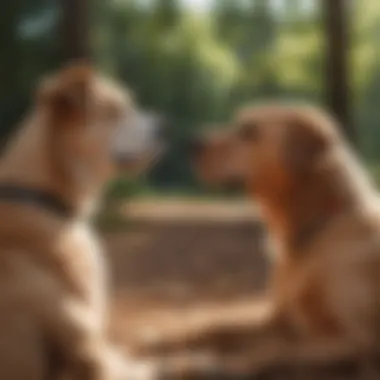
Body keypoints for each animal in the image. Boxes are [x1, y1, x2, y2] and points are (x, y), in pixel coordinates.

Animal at [138, 103, 380, 378]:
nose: (192, 142)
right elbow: (218, 328)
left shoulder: (358, 339)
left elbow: (272, 354)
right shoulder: (277, 322)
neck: (316, 230)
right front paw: (162, 343)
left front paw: (204, 364)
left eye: (249, 132)